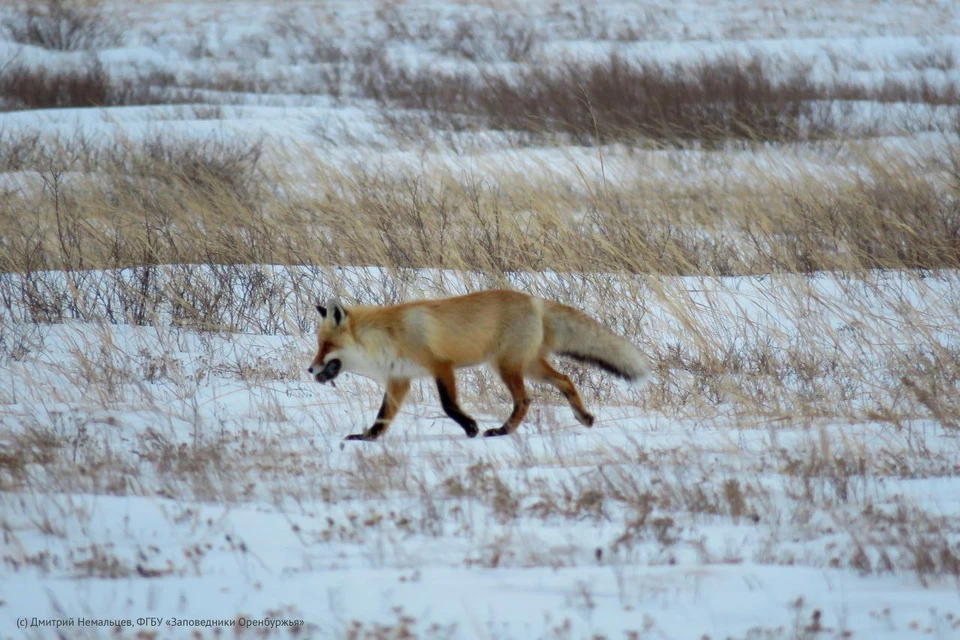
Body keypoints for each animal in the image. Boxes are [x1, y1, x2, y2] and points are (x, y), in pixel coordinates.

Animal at [308, 290, 648, 440]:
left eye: (326, 347)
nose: (310, 370)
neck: (387, 338)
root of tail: (534, 300)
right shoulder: (399, 379)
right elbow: (383, 416)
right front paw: (367, 438)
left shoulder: (440, 366)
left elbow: (448, 405)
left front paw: (470, 427)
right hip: (529, 367)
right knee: (565, 379)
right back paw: (583, 416)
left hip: (507, 367)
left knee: (524, 399)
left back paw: (502, 430)